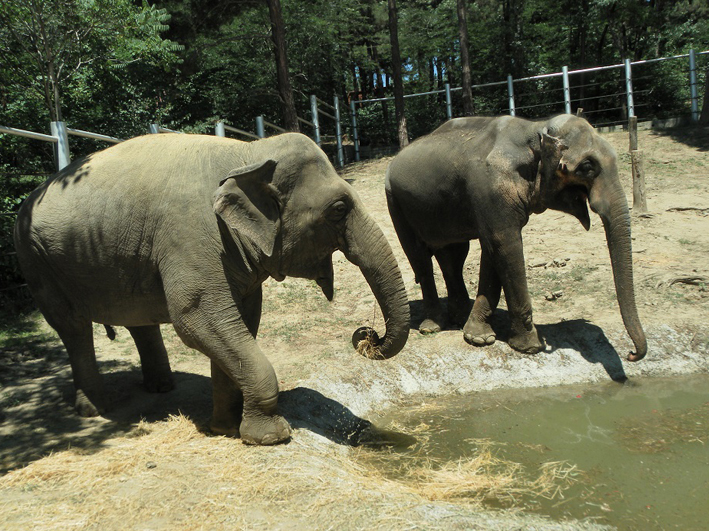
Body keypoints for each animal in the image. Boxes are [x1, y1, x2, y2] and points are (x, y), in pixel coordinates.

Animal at [13, 132, 410, 444]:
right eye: (339, 209)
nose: (367, 335)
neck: (248, 153)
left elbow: (242, 319)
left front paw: (225, 429)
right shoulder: (192, 239)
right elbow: (196, 320)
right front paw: (270, 437)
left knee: (138, 319)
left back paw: (161, 387)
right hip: (37, 261)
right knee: (73, 328)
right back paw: (96, 408)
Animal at [384, 114, 644, 364]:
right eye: (587, 166)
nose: (631, 354)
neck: (536, 129)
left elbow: (492, 250)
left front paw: (478, 337)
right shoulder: (491, 189)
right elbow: (504, 245)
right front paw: (530, 346)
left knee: (453, 257)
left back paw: (458, 318)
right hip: (395, 203)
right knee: (420, 259)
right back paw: (432, 327)